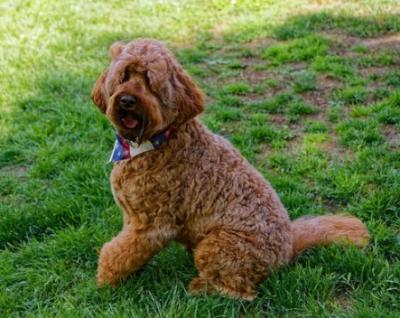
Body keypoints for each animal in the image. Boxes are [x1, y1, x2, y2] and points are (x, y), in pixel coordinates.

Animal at [90, 38, 368, 300]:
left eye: (150, 80)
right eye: (124, 75)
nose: (127, 100)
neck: (156, 141)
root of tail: (288, 249)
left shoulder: (152, 225)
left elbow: (117, 252)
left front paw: (104, 282)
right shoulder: (133, 219)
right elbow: (126, 250)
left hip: (219, 243)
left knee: (240, 291)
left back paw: (201, 287)